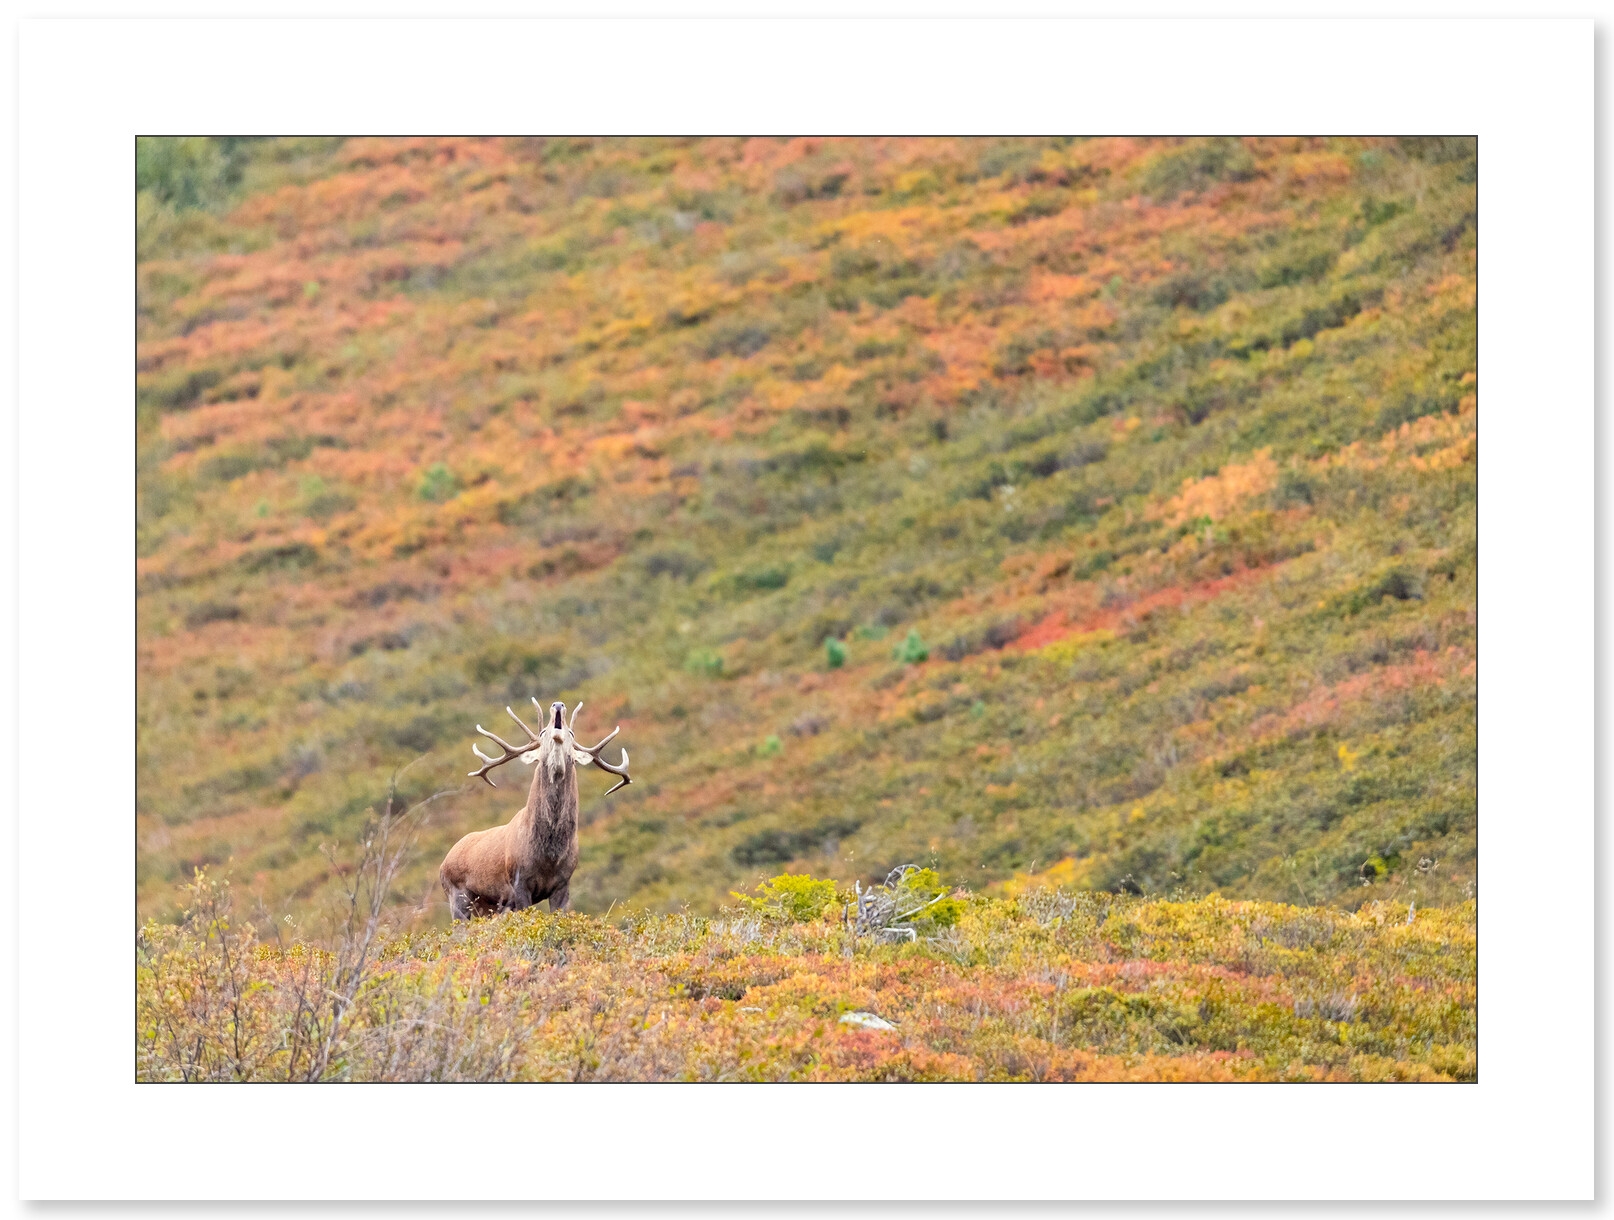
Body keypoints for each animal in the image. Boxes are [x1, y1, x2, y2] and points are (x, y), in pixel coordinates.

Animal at [439, 698, 632, 920]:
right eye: (542, 733)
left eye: (572, 733)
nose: (558, 705)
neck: (548, 857)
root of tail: (443, 863)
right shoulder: (519, 883)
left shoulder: (563, 884)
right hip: (457, 896)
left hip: (486, 907)